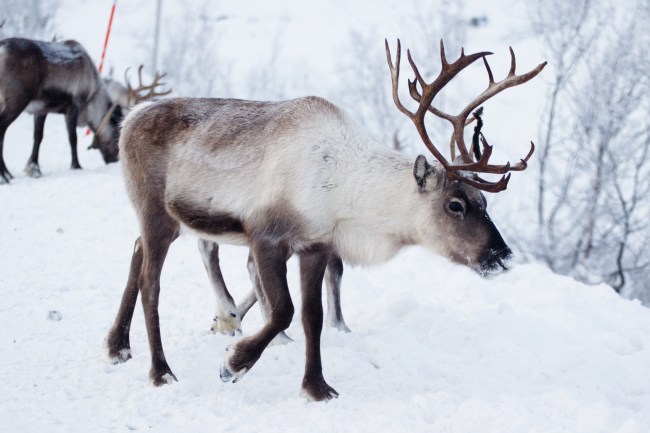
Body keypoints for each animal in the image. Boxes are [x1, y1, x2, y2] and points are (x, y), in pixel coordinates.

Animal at [0, 37, 124, 183]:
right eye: (116, 132)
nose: (114, 160)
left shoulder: (41, 110)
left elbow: (38, 137)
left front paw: (34, 168)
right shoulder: (73, 106)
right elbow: (73, 138)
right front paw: (76, 166)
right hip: (17, 101)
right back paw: (5, 175)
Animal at [106, 39, 546, 401]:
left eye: (484, 201)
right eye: (455, 204)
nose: (502, 256)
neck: (346, 194)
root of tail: (131, 116)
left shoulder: (315, 246)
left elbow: (312, 317)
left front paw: (316, 388)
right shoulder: (266, 236)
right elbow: (283, 309)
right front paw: (233, 364)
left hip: (160, 219)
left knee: (135, 251)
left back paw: (117, 346)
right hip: (156, 212)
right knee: (151, 282)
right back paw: (161, 372)